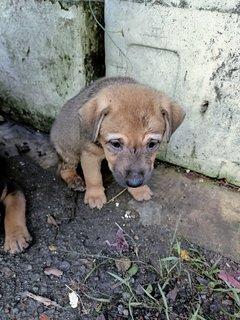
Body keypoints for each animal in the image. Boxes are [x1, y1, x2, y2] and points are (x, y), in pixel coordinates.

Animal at [50, 76, 186, 209]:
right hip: (69, 152)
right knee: (63, 168)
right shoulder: (90, 155)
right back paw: (74, 179)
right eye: (116, 144)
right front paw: (95, 196)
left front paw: (139, 190)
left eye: (152, 144)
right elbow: (93, 177)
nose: (135, 183)